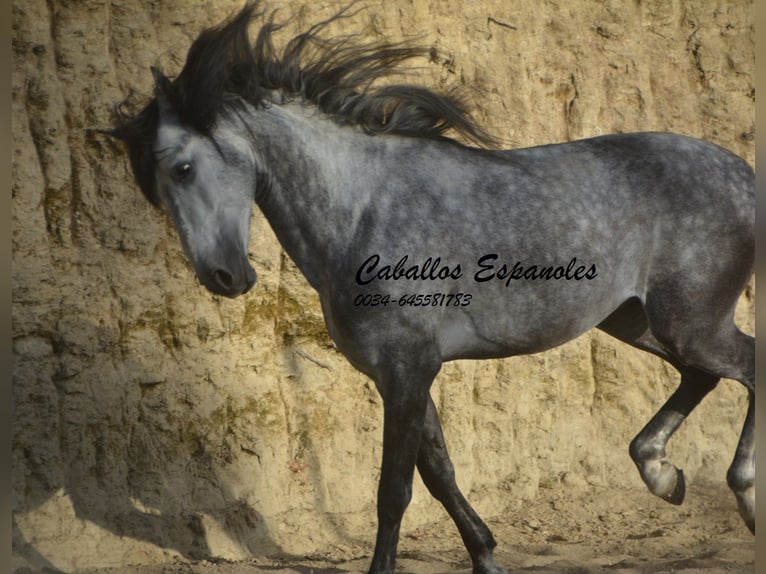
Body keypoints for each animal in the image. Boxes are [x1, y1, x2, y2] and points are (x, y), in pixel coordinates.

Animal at [108, 2, 756, 572]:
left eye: (182, 168)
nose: (226, 278)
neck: (363, 209)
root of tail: (744, 175)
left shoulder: (408, 368)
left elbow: (394, 491)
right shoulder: (399, 371)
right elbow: (440, 474)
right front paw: (487, 557)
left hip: (688, 321)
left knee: (747, 365)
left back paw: (743, 494)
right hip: (637, 320)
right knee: (703, 376)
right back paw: (663, 476)